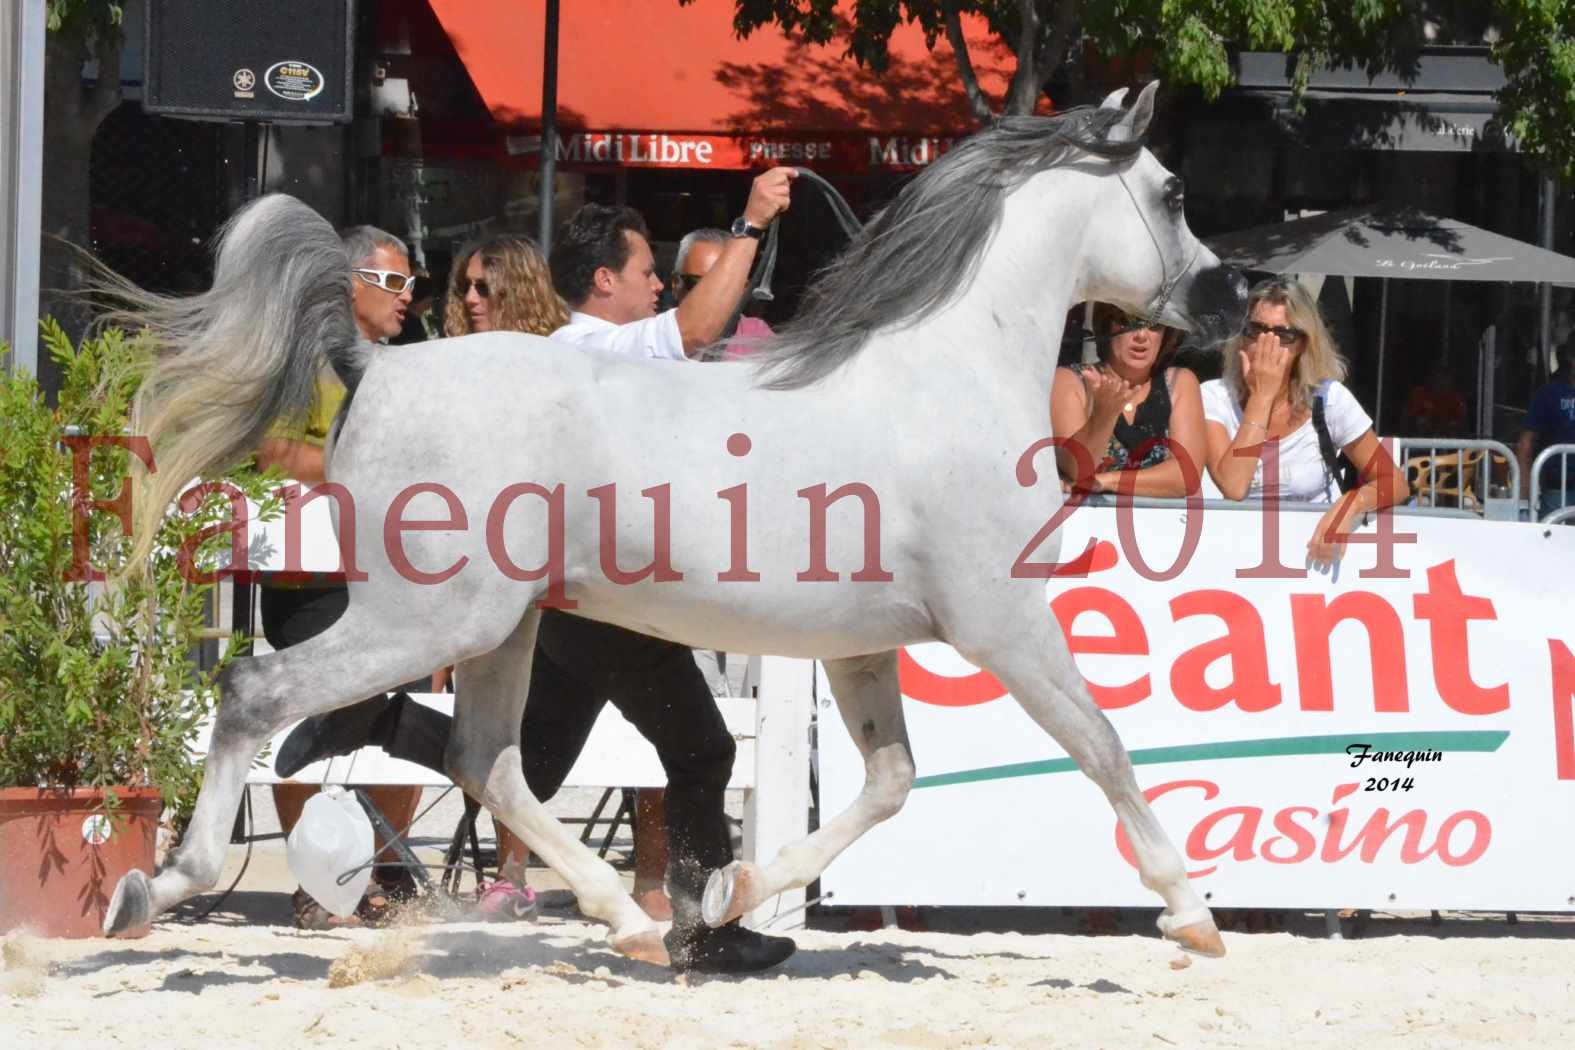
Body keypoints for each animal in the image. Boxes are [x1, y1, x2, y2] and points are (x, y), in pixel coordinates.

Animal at [104, 86, 1247, 963]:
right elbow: (1100, 746)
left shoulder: (863, 645)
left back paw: (632, 922)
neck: (941, 381)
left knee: (488, 760)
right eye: (1174, 191)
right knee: (258, 692)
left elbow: (888, 784)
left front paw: (735, 897)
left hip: (500, 627)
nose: (1234, 303)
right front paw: (1191, 914)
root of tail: (373, 364)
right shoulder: (1001, 622)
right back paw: (154, 888)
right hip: (430, 620)